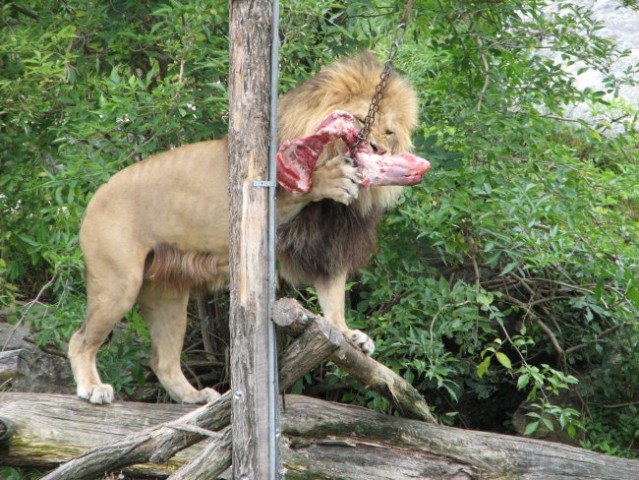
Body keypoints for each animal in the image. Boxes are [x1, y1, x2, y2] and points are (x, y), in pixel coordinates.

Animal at [70, 52, 420, 404]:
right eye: (361, 121)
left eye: (390, 131)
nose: (378, 149)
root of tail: (93, 199)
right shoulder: (257, 198)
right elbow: (302, 189)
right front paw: (330, 178)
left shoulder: (324, 245)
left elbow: (333, 300)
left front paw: (349, 335)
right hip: (119, 283)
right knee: (80, 338)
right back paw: (93, 388)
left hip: (166, 292)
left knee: (162, 360)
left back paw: (195, 397)